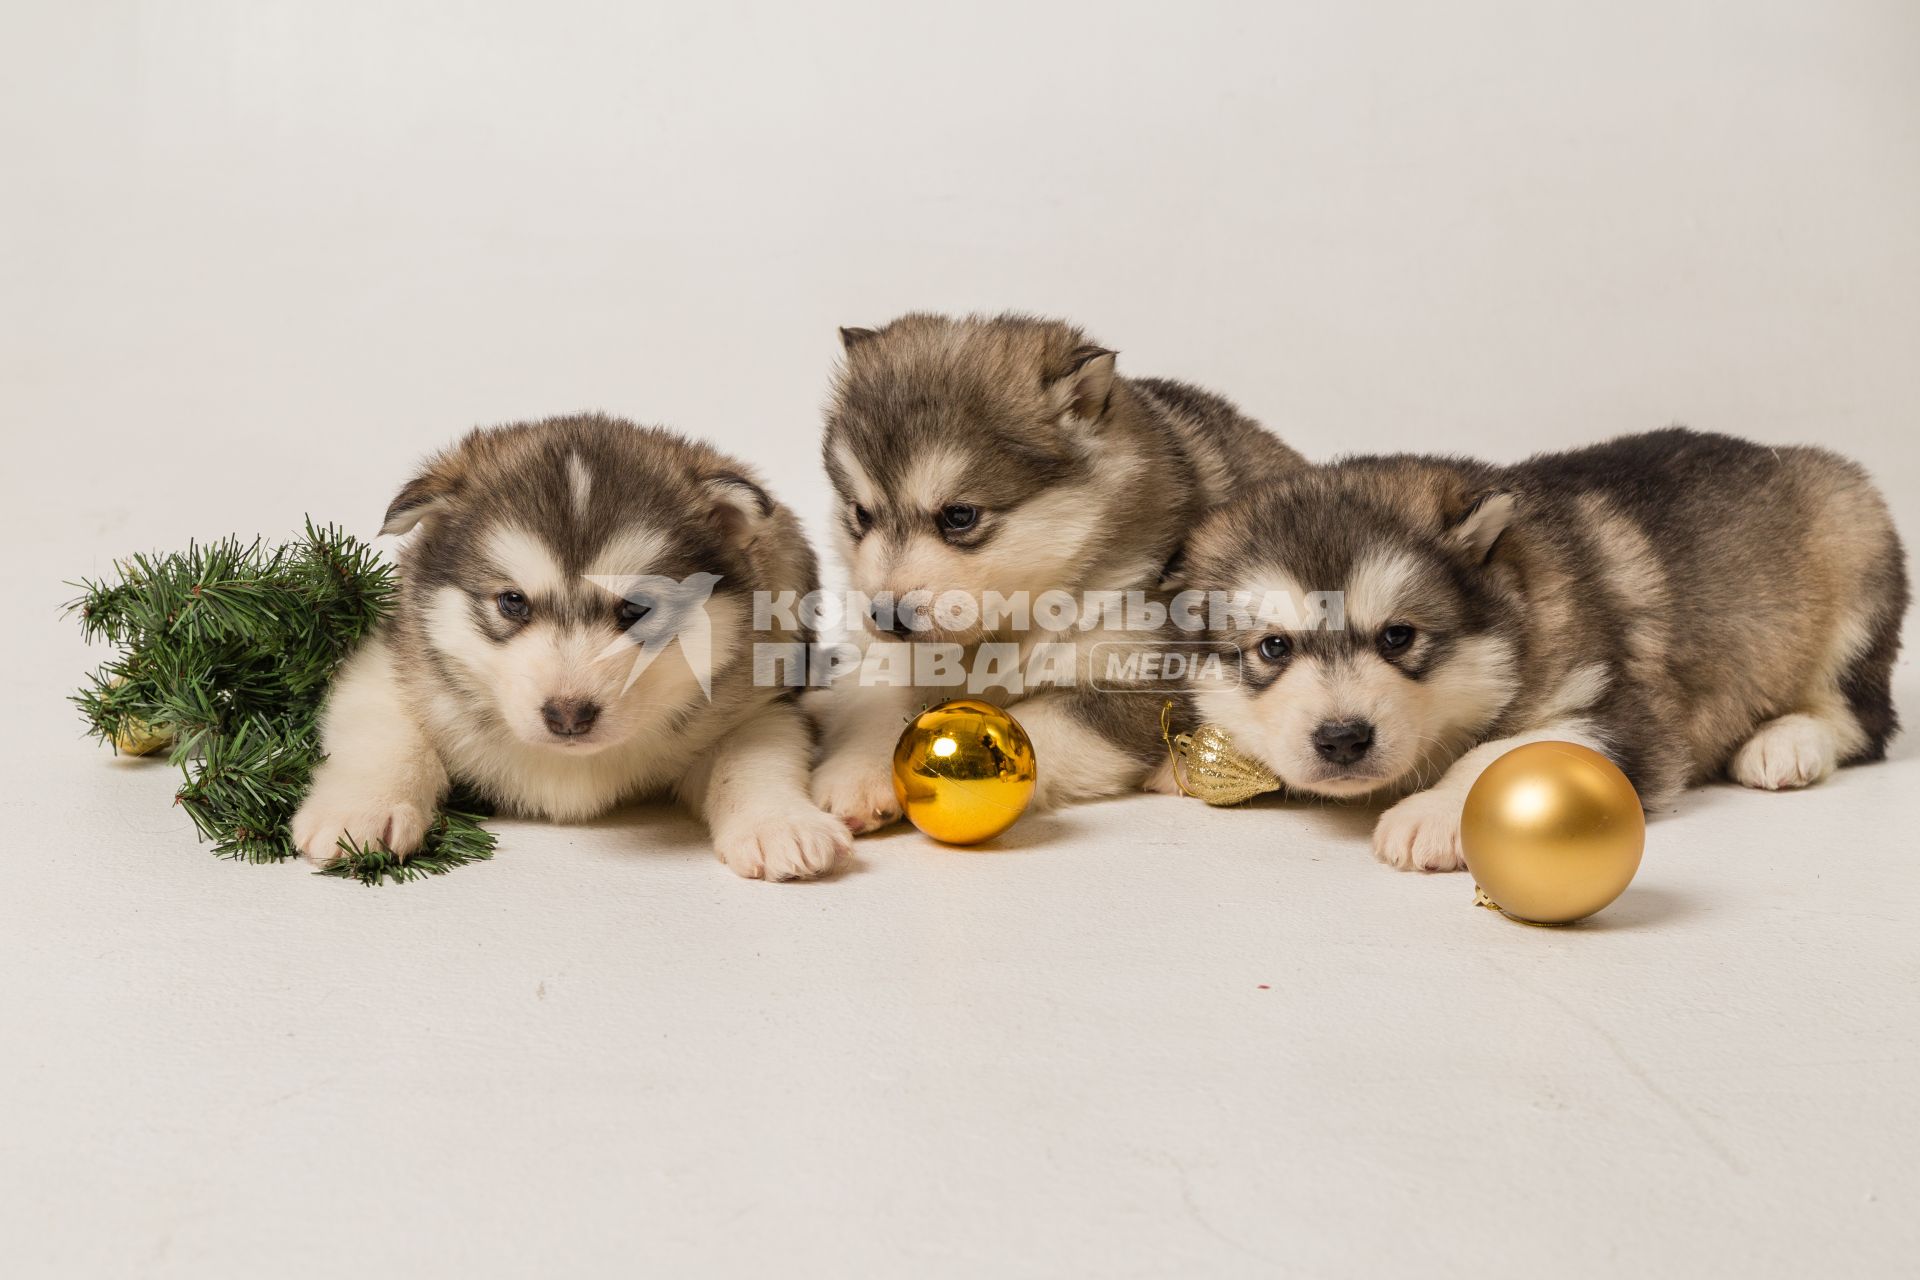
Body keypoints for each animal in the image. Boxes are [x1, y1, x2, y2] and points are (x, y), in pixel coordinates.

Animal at [289, 416, 848, 886]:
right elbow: (383, 733)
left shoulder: (755, 704)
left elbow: (754, 757)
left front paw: (781, 824)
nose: (568, 716)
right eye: (512, 601)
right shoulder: (388, 661)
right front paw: (363, 811)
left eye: (638, 607)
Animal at [810, 312, 1305, 832]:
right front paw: (856, 776)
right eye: (861, 514)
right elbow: (874, 703)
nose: (886, 617)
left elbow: (1035, 728)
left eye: (960, 515)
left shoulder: (1135, 677)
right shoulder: (893, 659)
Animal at [1175, 429, 1896, 871]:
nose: (1343, 738)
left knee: (1865, 720)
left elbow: (1502, 751)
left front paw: (1434, 811)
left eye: (1398, 636)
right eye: (1273, 647)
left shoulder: (1628, 715)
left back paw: (1786, 742)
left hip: (1856, 544)